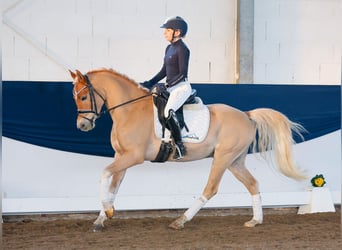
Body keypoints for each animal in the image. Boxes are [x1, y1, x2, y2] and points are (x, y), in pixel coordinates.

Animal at [68, 68, 306, 232]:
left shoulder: (133, 157)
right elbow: (113, 187)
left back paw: (180, 221)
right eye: (75, 97)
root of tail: (246, 115)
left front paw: (107, 212)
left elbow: (104, 174)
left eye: (83, 97)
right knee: (253, 184)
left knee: (210, 189)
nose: (82, 126)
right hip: (235, 161)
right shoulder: (122, 156)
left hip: (223, 158)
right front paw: (101, 218)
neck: (129, 110)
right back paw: (255, 220)